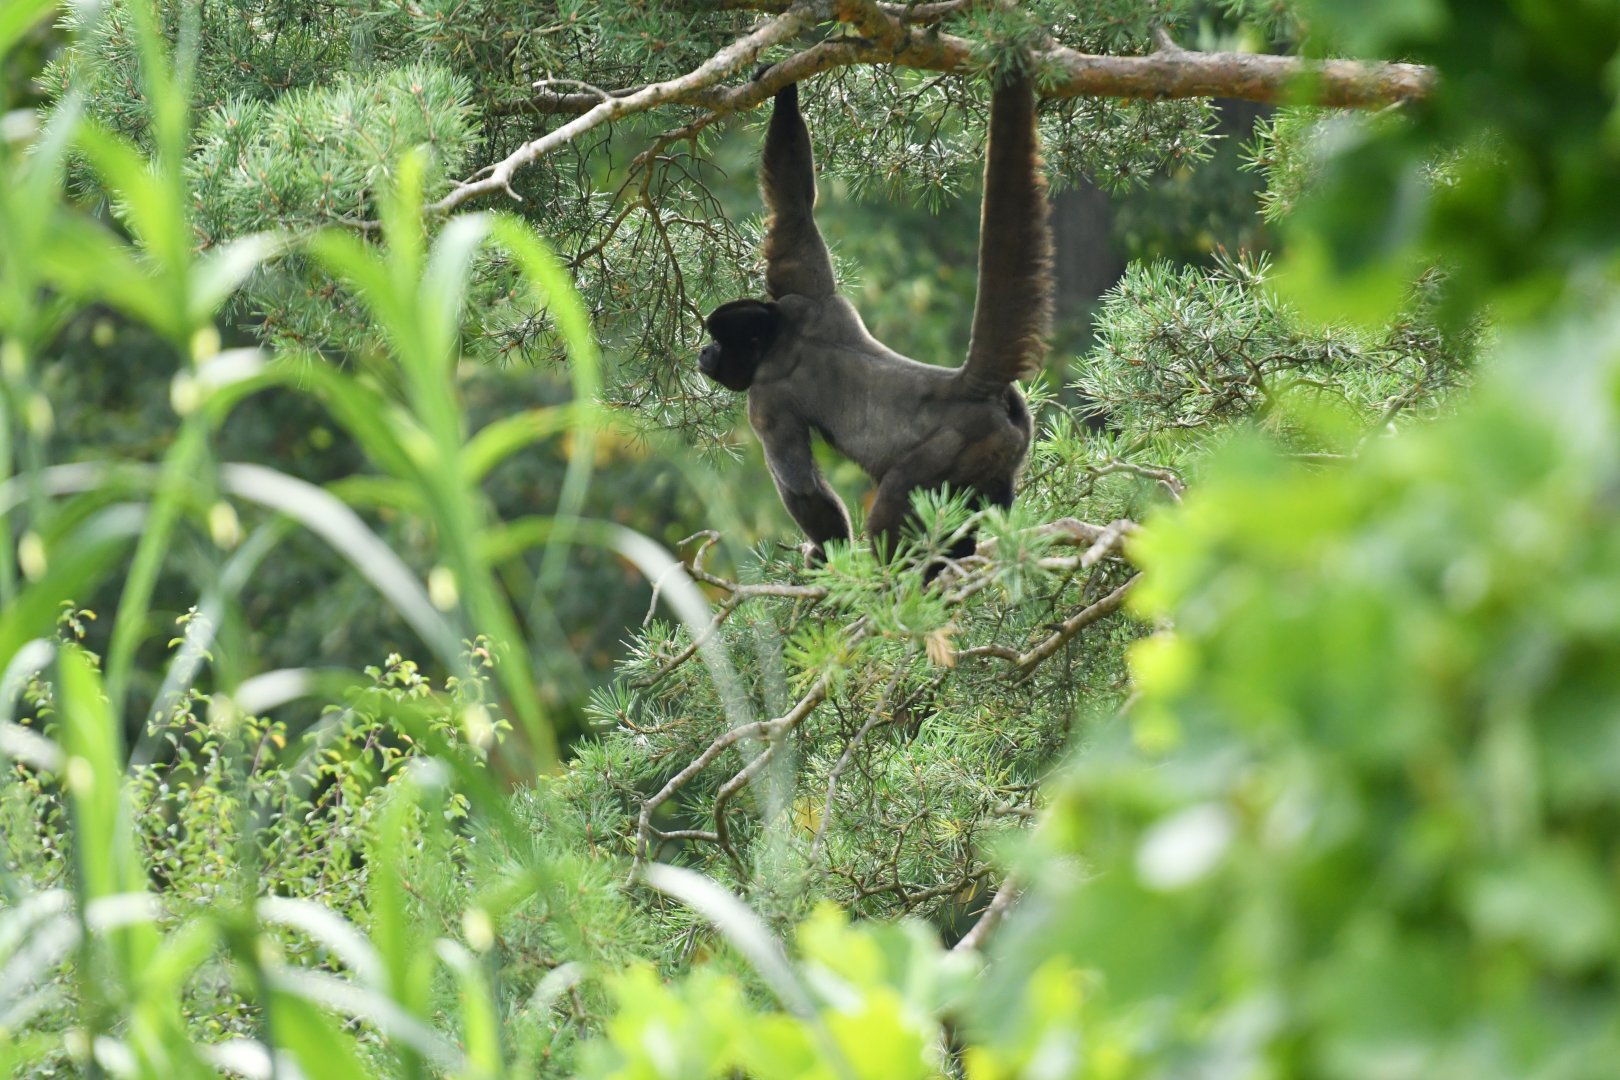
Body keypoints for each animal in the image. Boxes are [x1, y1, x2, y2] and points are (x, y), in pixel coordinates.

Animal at [698, 71, 1052, 571]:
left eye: (720, 343)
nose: (704, 352)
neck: (780, 337)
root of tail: (970, 388)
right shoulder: (807, 300)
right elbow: (793, 210)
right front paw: (786, 88)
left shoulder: (766, 395)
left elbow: (801, 484)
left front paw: (828, 555)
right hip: (1005, 453)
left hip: (955, 451)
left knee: (895, 497)